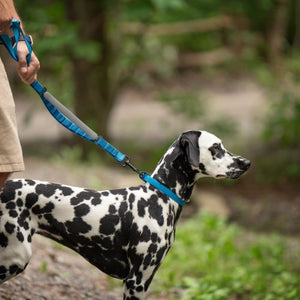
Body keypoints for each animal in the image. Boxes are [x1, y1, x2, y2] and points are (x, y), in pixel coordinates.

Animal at [0, 130, 250, 298]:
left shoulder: (145, 279)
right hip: (16, 256)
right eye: (215, 148)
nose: (246, 162)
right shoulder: (136, 280)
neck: (158, 198)